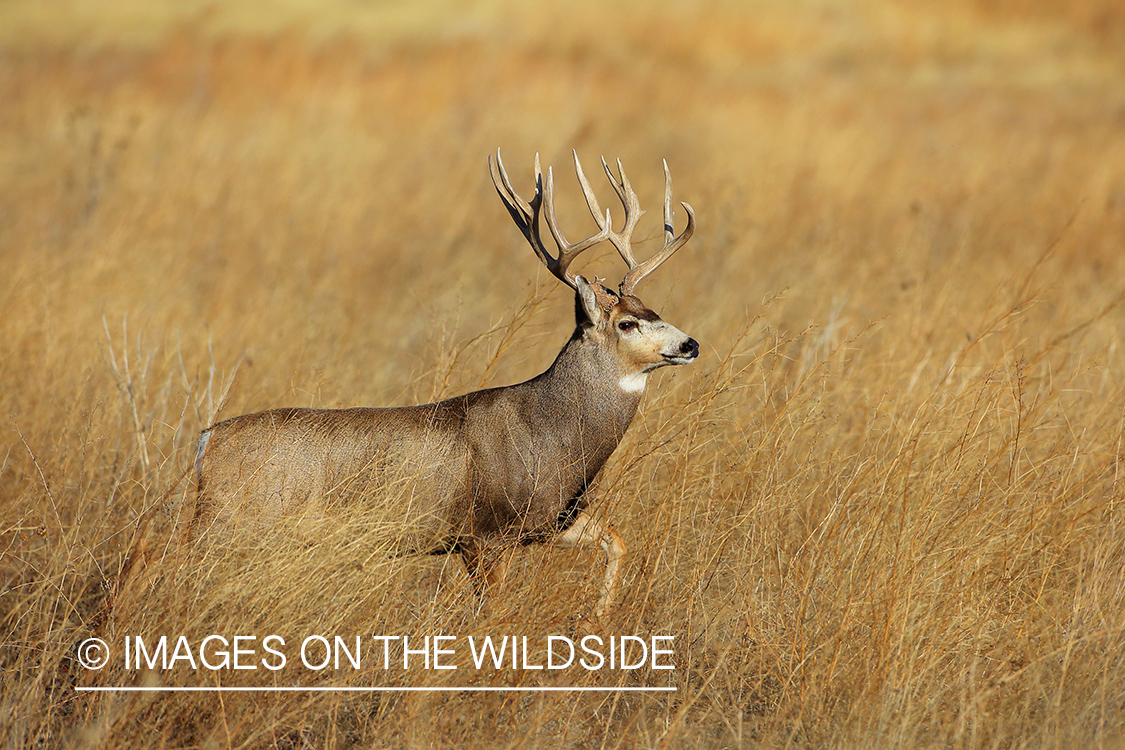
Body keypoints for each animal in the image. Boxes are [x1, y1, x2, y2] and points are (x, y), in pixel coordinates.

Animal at [185, 149, 697, 620]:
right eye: (628, 323)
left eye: (653, 309)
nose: (690, 344)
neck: (550, 434)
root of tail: (206, 443)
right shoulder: (485, 533)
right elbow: (489, 614)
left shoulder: (553, 519)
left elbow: (617, 541)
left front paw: (598, 619)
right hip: (234, 522)